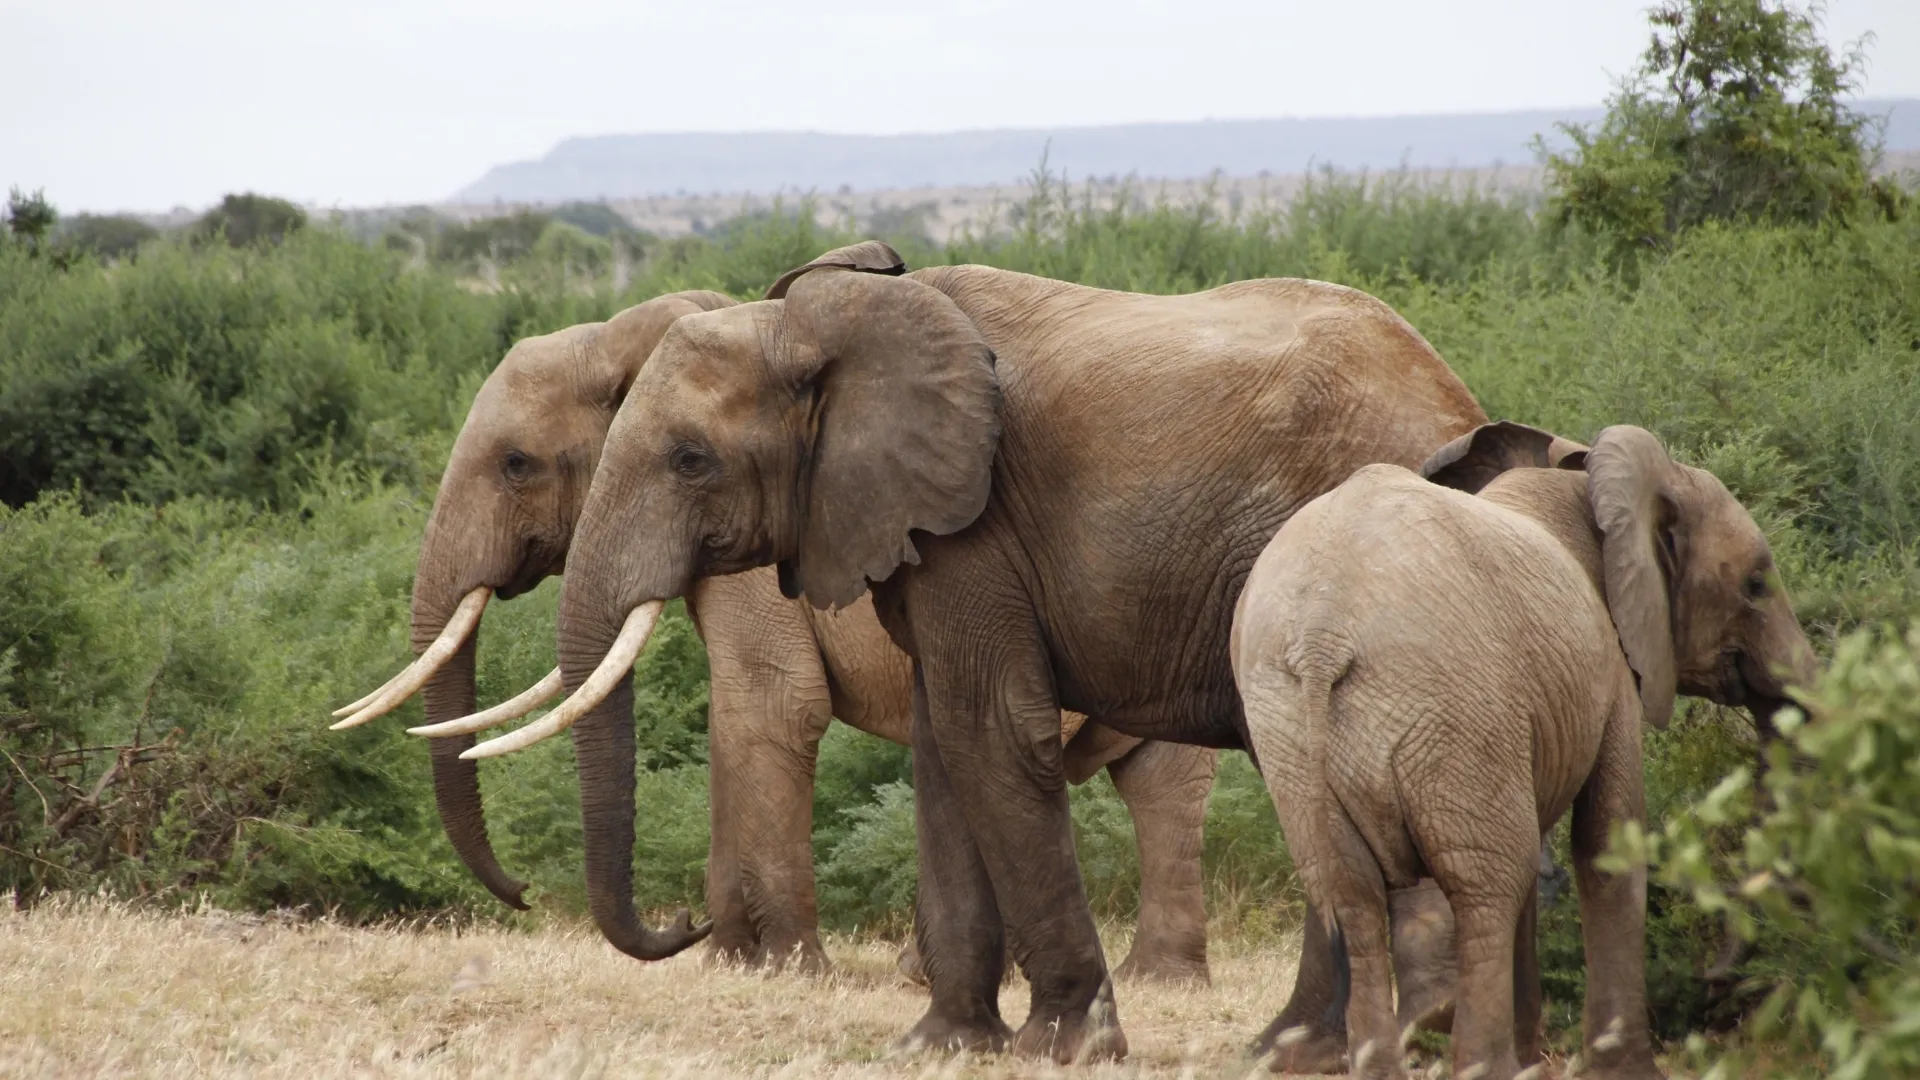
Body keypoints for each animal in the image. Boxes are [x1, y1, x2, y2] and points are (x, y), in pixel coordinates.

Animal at [328, 248, 1219, 982]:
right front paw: (730, 960)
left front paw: (785, 966)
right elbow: (744, 721)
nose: (678, 920)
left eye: (517, 465)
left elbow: (769, 708)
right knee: (1157, 780)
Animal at [465, 254, 1494, 1064]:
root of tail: (1460, 399)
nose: (683, 925)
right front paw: (939, 1046)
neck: (813, 323)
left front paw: (1063, 1048)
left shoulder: (974, 524)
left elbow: (976, 728)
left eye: (689, 459)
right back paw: (1326, 1043)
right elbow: (942, 746)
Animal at [1229, 421, 1819, 1080]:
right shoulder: (1609, 669)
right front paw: (1626, 1072)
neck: (1590, 485)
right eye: (1756, 586)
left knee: (1353, 894)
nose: (1715, 982)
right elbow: (1608, 839)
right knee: (1488, 887)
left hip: (1289, 733)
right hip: (1454, 712)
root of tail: (1321, 632)